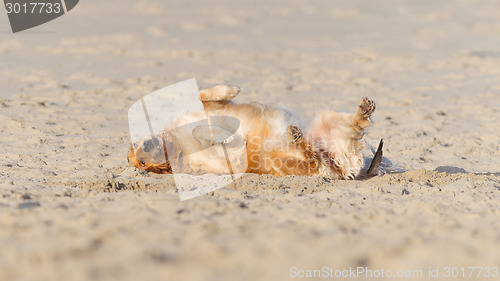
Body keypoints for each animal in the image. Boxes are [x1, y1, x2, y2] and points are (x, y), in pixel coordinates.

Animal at [126, 83, 382, 179]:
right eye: (141, 163)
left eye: (135, 147)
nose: (146, 147)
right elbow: (204, 131)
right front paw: (225, 135)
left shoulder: (209, 108)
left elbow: (203, 95)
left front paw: (230, 89)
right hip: (285, 162)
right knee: (311, 157)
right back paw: (297, 138)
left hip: (330, 119)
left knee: (357, 123)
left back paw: (364, 109)